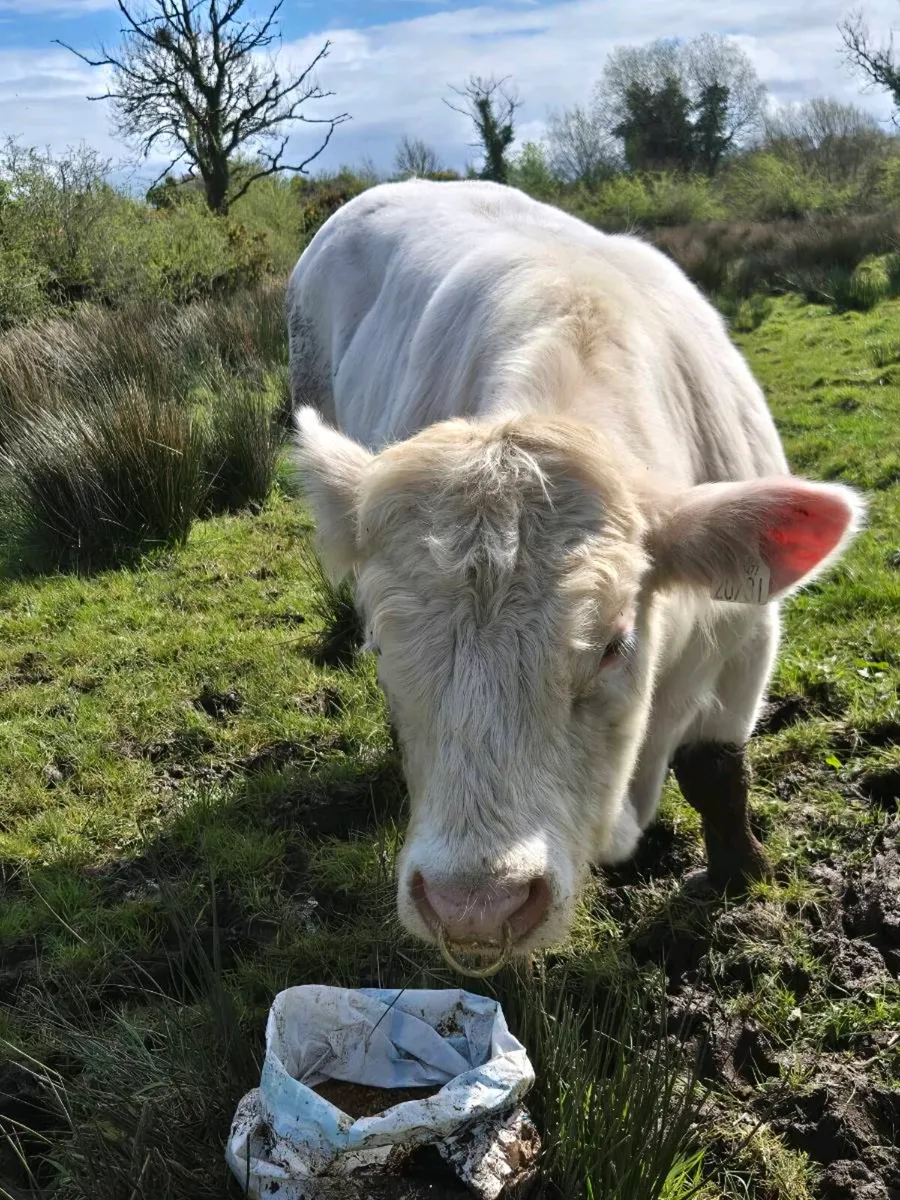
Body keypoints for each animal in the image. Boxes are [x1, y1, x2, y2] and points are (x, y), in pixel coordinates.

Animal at [287, 179, 863, 967]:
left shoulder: (746, 635)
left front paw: (740, 878)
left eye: (617, 644)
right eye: (378, 644)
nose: (475, 905)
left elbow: (717, 772)